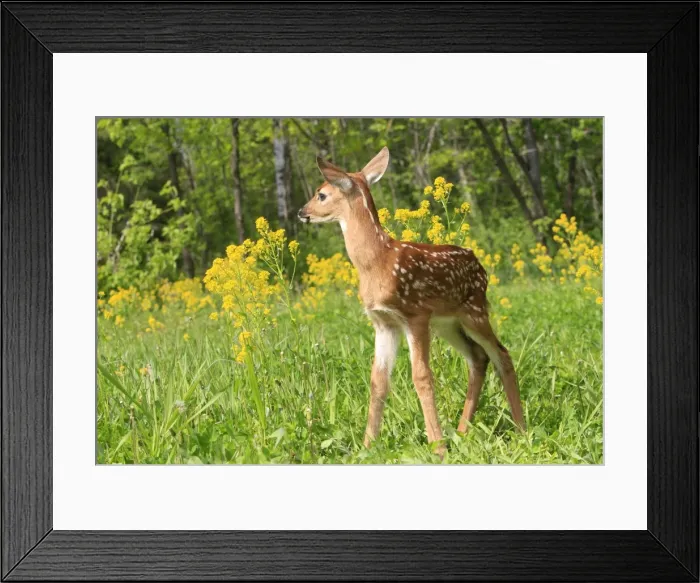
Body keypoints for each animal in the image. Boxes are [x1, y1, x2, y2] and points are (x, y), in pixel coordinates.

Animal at [298, 147, 525, 457]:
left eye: (321, 194)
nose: (301, 212)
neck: (377, 261)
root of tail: (480, 265)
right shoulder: (383, 322)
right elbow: (378, 381)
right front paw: (368, 446)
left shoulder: (415, 314)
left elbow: (422, 378)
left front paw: (437, 448)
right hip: (447, 323)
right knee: (478, 358)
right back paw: (462, 431)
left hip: (474, 311)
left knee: (501, 354)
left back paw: (521, 429)